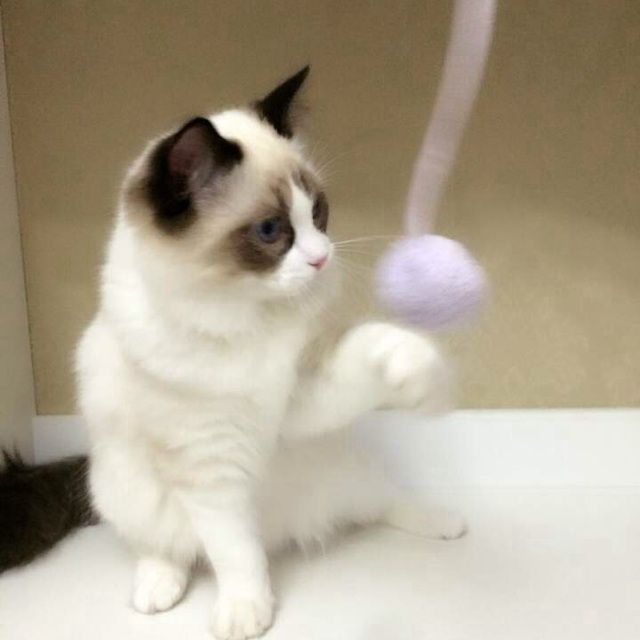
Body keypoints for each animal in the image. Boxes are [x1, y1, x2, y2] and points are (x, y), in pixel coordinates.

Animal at [72, 66, 464, 639]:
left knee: (383, 501)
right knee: (167, 547)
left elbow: (376, 349)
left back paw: (444, 523)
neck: (243, 316)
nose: (323, 258)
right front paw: (246, 612)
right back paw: (157, 588)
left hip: (343, 471)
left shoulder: (298, 403)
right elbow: (236, 553)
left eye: (318, 212)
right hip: (125, 491)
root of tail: (284, 533)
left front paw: (416, 371)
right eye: (271, 230)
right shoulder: (210, 469)